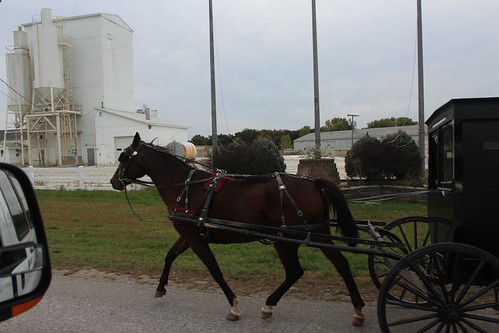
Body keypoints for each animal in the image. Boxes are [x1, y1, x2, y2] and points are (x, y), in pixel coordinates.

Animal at [111, 132, 366, 324]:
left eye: (124, 157)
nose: (114, 181)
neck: (186, 187)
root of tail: (314, 183)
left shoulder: (195, 237)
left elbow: (214, 270)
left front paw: (234, 305)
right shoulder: (188, 234)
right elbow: (170, 256)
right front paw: (161, 287)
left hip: (286, 239)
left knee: (298, 270)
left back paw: (271, 304)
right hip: (314, 235)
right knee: (336, 266)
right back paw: (355, 309)